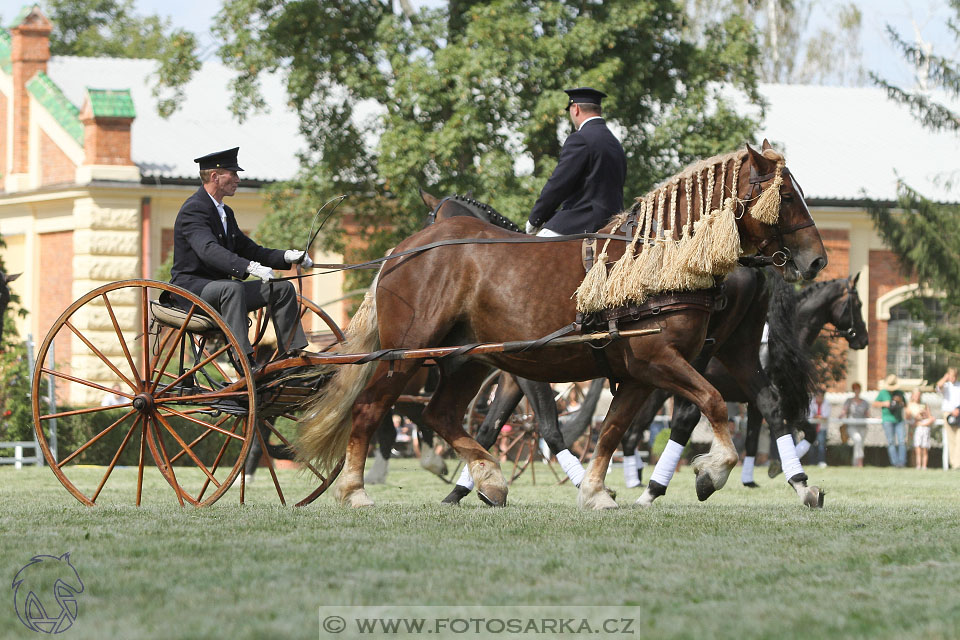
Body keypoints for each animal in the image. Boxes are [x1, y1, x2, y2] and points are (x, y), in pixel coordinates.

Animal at [298, 142, 824, 508]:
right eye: (785, 195)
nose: (817, 259)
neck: (661, 260)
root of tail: (405, 250)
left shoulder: (641, 371)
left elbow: (610, 430)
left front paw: (594, 491)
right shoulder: (652, 362)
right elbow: (703, 403)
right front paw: (712, 470)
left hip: (465, 359)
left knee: (436, 414)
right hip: (409, 353)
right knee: (372, 409)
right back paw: (357, 490)